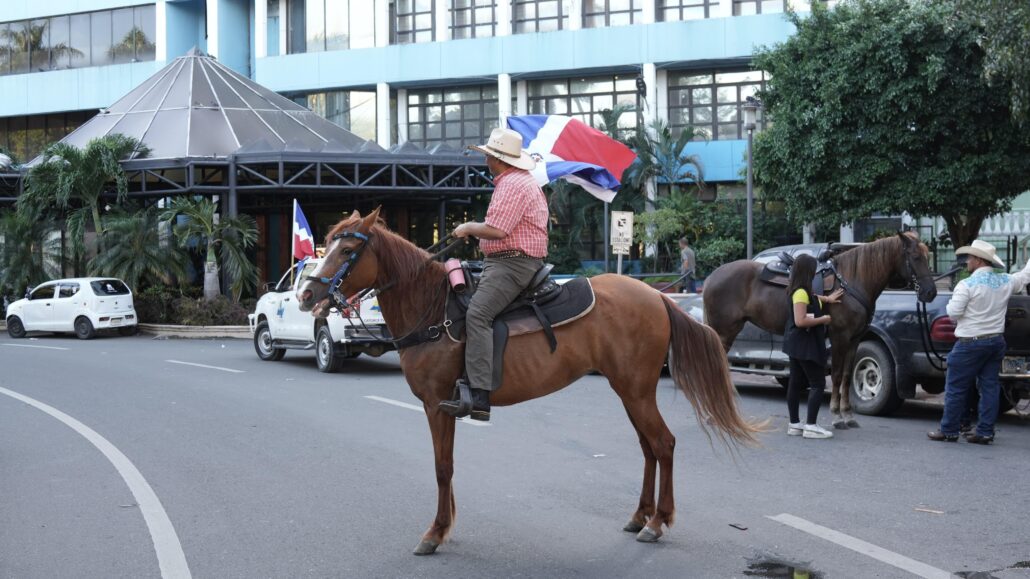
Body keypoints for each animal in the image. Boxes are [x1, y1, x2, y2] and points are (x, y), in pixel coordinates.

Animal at [298, 207, 766, 556]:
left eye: (346, 249)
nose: (305, 295)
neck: (432, 308)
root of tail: (657, 296)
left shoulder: (436, 403)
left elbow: (442, 467)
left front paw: (434, 532)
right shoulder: (444, 407)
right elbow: (447, 466)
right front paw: (447, 525)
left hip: (635, 390)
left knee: (664, 444)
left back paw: (657, 522)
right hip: (629, 390)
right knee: (648, 447)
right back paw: (639, 517)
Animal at [704, 231, 939, 426]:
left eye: (927, 256)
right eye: (915, 257)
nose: (930, 293)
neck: (852, 282)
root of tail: (711, 277)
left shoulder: (854, 339)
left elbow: (847, 375)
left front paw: (848, 414)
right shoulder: (839, 337)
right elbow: (836, 375)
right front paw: (836, 415)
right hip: (724, 332)